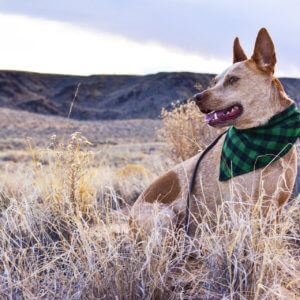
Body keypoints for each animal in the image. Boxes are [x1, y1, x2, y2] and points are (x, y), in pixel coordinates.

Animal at [129, 29, 298, 238]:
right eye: (215, 81)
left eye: (233, 79)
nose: (196, 97)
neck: (263, 137)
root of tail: (129, 220)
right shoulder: (241, 207)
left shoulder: (277, 205)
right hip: (165, 218)